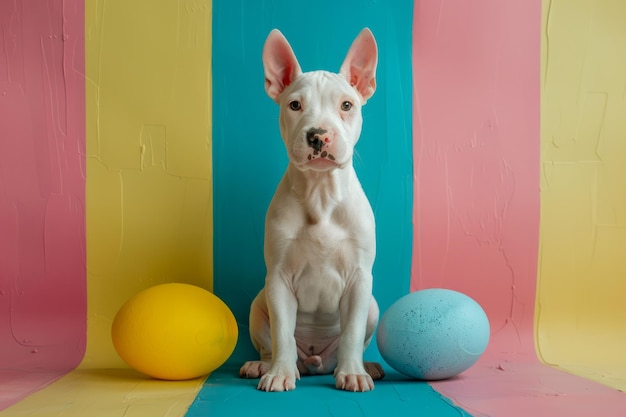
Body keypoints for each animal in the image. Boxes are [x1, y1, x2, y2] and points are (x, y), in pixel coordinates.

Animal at [239, 28, 382, 390]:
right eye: (295, 105)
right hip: (258, 303)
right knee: (271, 342)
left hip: (373, 305)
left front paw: (352, 373)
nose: (319, 135)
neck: (321, 194)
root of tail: (316, 361)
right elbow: (282, 333)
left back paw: (364, 365)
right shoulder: (278, 280)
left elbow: (352, 333)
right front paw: (280, 373)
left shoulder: (359, 280)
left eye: (346, 105)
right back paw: (263, 364)